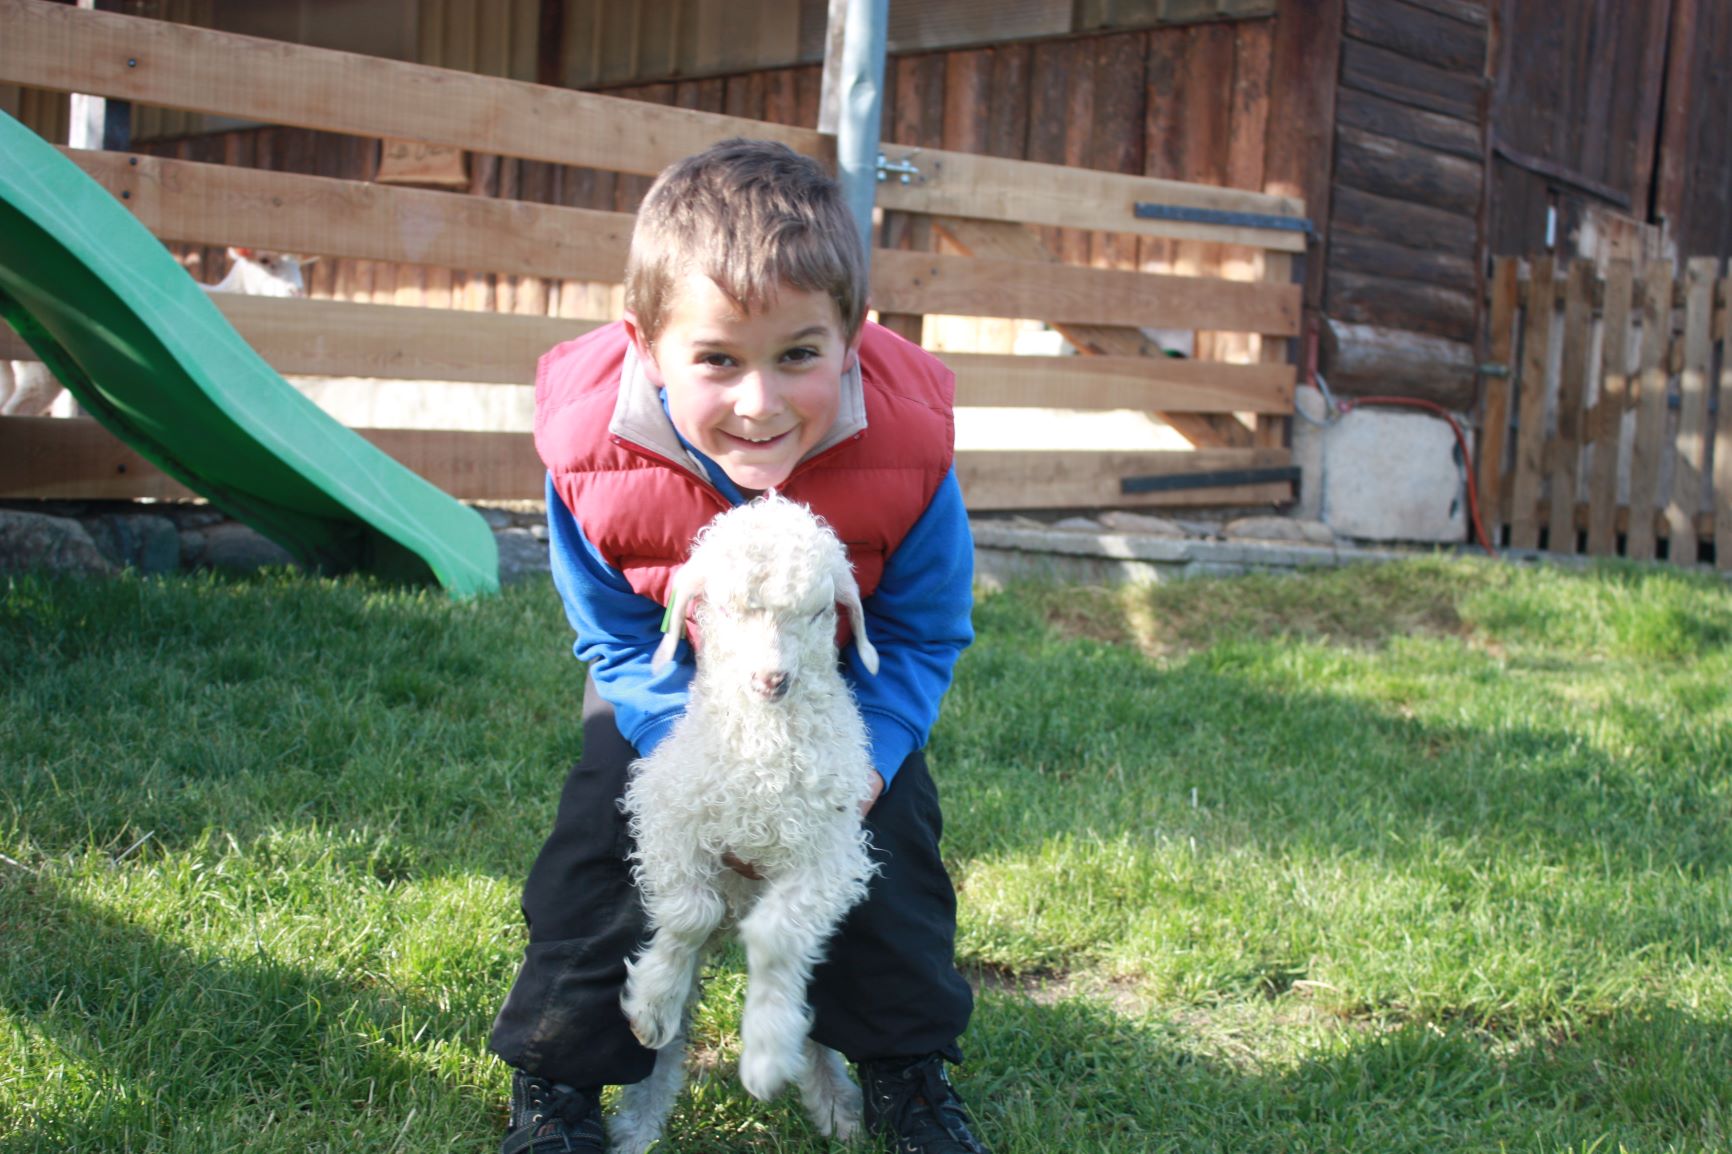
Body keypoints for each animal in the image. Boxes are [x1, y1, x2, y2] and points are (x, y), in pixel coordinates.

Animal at [609, 492, 879, 1150]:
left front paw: (765, 1055)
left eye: (819, 613)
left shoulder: (829, 857)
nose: (772, 679)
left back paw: (836, 1104)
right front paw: (651, 1006)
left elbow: (777, 938)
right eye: (726, 607)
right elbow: (690, 914)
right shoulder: (668, 820)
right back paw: (637, 1123)